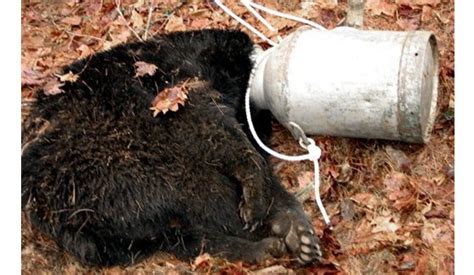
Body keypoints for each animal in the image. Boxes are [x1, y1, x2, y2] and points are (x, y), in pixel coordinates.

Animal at [20, 29, 320, 268]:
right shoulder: (175, 87)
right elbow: (213, 130)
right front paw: (256, 192)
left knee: (175, 235)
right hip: (108, 164)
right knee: (199, 190)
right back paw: (261, 234)